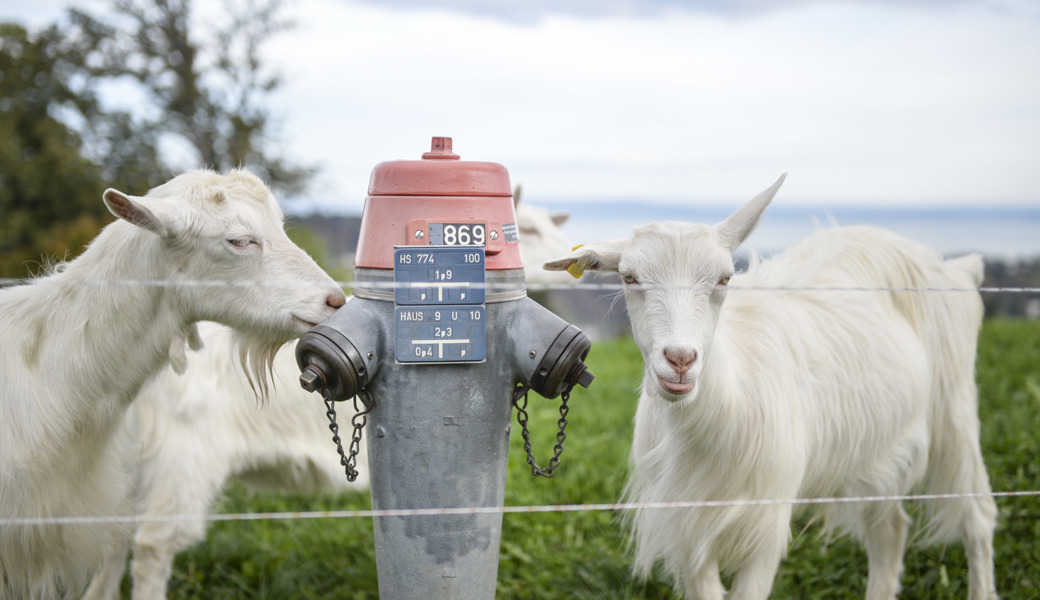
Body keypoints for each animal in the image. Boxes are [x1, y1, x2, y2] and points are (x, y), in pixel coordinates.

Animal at [544, 175, 998, 598]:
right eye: (629, 277)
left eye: (725, 279)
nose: (680, 360)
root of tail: (953, 269)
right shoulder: (688, 526)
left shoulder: (765, 522)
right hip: (875, 444)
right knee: (890, 528)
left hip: (954, 408)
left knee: (977, 514)